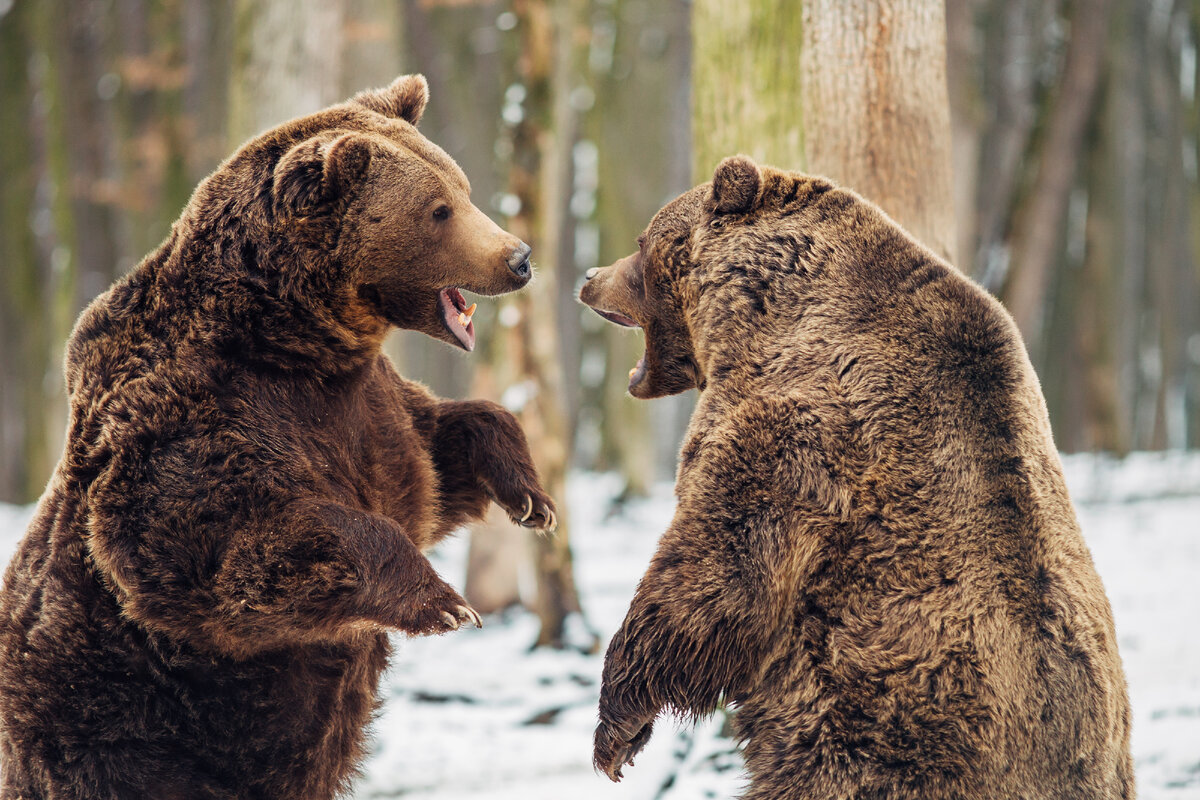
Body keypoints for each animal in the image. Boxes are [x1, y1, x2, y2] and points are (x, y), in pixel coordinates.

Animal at [1, 71, 556, 796]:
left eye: (461, 187)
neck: (294, 341)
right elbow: (228, 543)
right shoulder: (195, 420)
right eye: (437, 210)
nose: (519, 258)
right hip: (112, 726)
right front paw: (446, 603)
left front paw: (531, 498)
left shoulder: (368, 412)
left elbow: (440, 456)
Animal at [580, 155, 1132, 800]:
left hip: (877, 726)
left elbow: (713, 571)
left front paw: (617, 730)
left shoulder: (793, 427)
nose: (589, 275)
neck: (757, 314)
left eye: (642, 243)